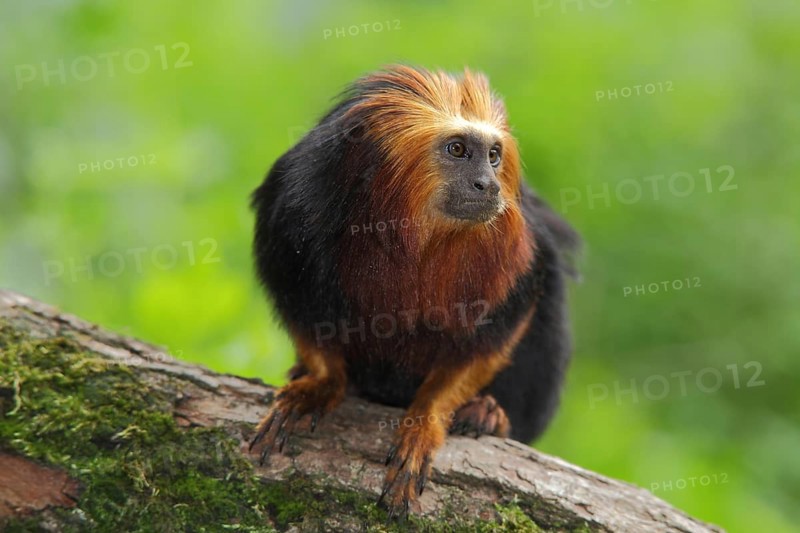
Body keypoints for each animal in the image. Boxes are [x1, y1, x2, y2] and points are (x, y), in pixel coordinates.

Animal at [249, 65, 579, 518]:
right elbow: (305, 312)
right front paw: (319, 383)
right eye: (457, 149)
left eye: (493, 155)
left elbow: (493, 337)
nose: (487, 184)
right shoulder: (294, 211)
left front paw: (426, 419)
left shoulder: (523, 254)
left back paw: (488, 413)